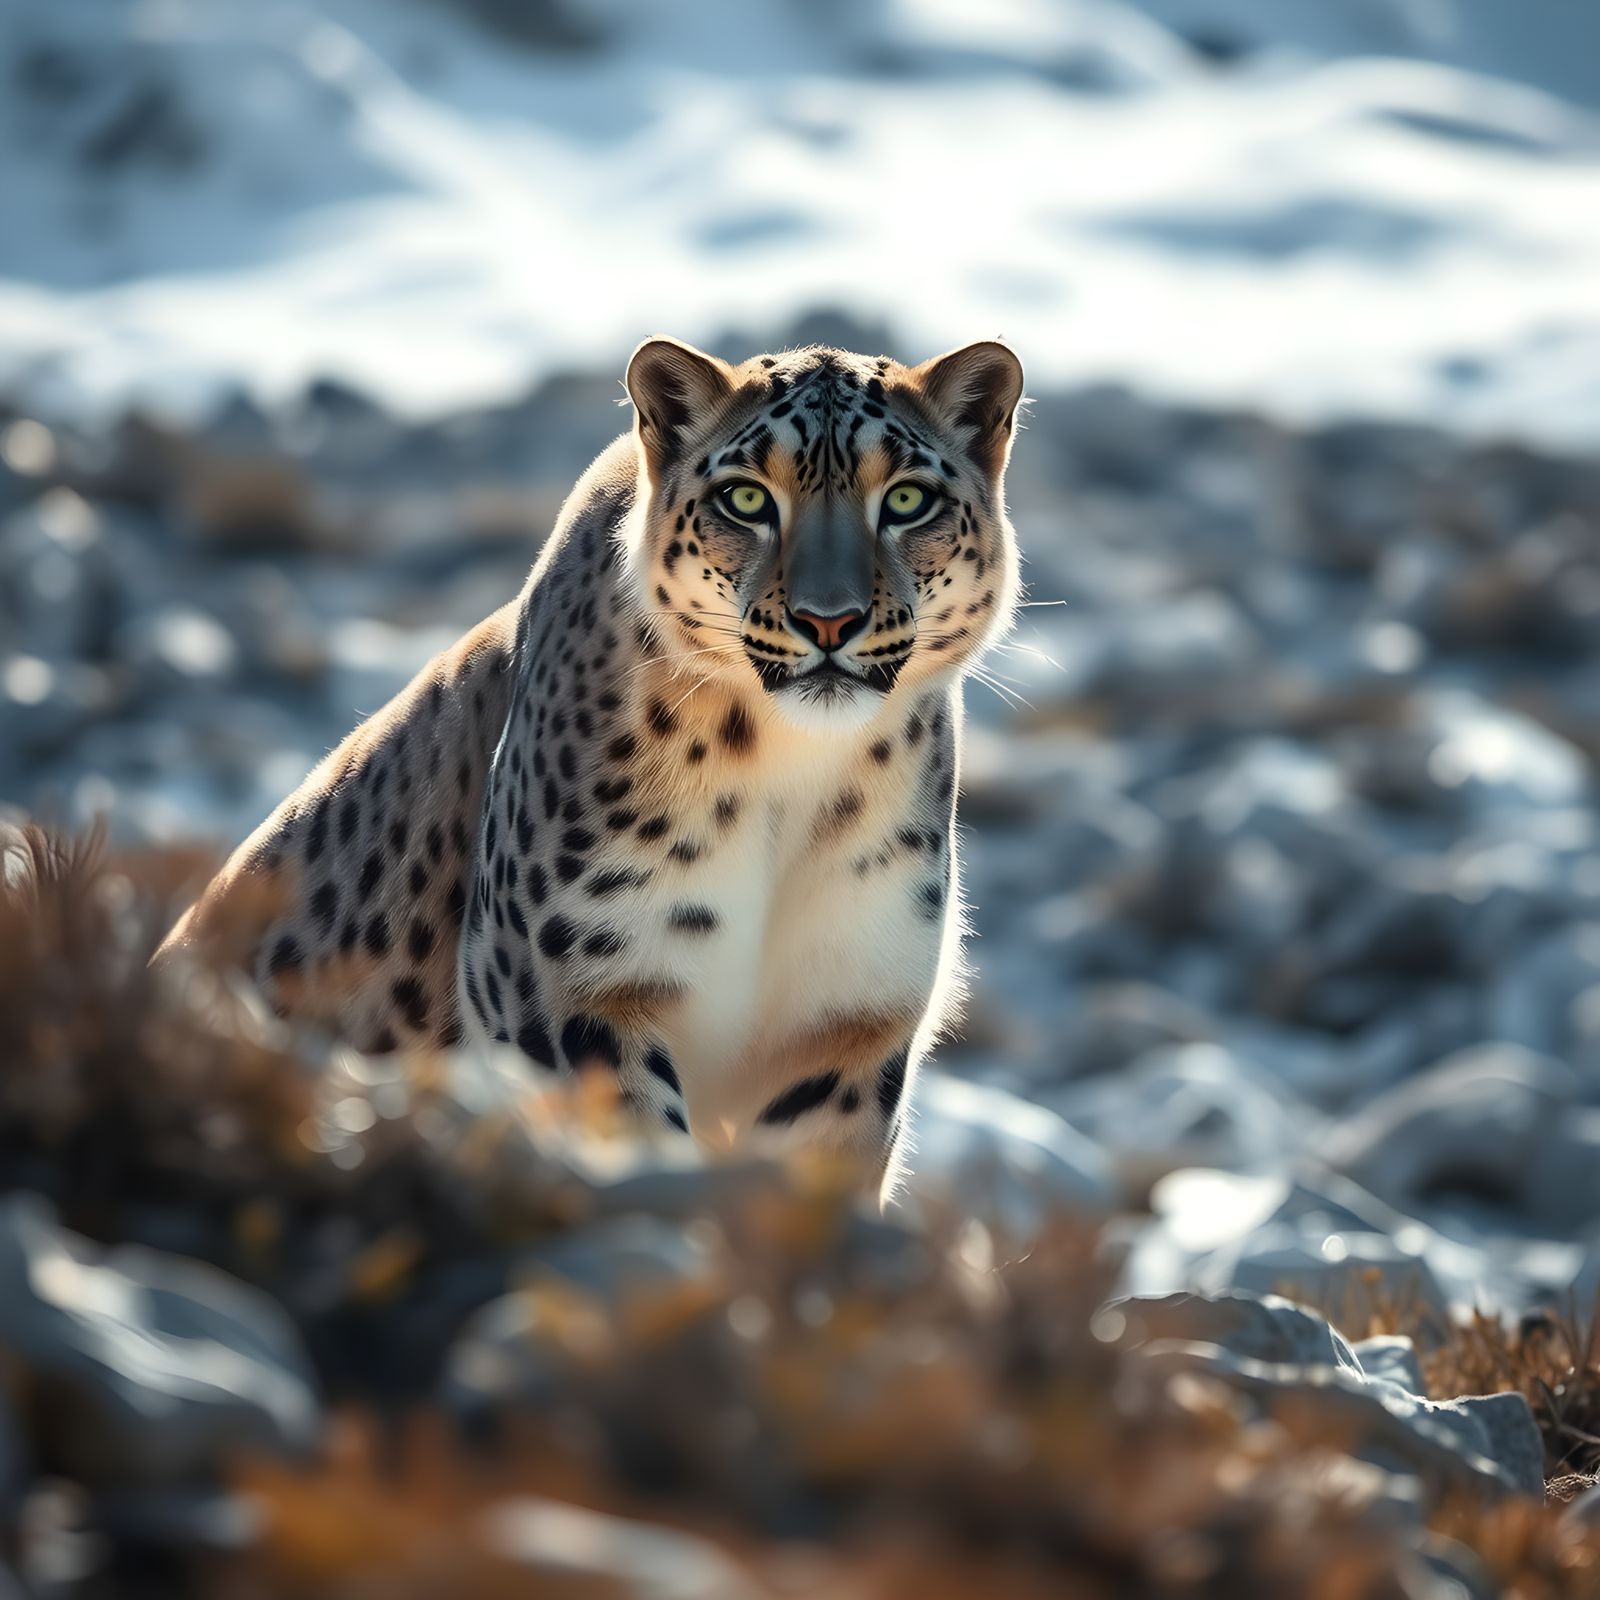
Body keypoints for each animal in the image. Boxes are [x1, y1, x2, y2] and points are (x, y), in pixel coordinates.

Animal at [159, 336, 1026, 1200]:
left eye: (906, 501)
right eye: (747, 500)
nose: (830, 621)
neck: (792, 780)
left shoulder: (848, 1022)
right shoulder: (570, 992)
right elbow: (638, 1154)